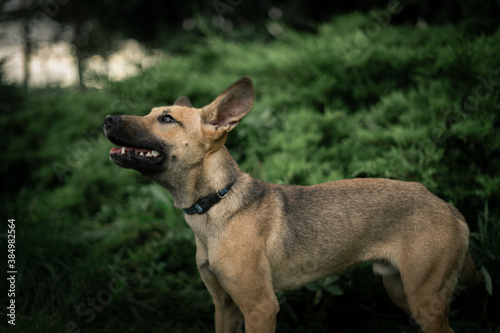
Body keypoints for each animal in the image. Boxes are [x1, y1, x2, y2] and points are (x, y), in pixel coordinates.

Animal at [103, 76, 482, 330]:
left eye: (166, 119)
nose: (107, 119)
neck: (215, 205)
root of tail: (448, 206)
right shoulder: (224, 307)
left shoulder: (260, 308)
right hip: (399, 290)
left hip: (425, 300)